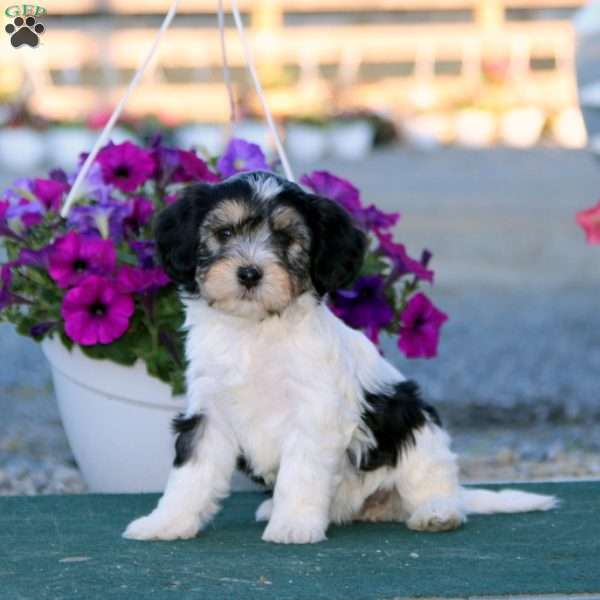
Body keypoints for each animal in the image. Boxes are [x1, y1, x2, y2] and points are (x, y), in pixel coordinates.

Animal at [123, 170, 556, 544]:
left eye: (285, 239)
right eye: (224, 232)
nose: (249, 273)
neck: (256, 329)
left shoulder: (314, 412)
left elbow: (301, 472)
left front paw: (294, 525)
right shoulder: (208, 410)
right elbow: (191, 473)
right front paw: (166, 522)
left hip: (415, 427)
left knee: (433, 483)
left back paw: (437, 512)